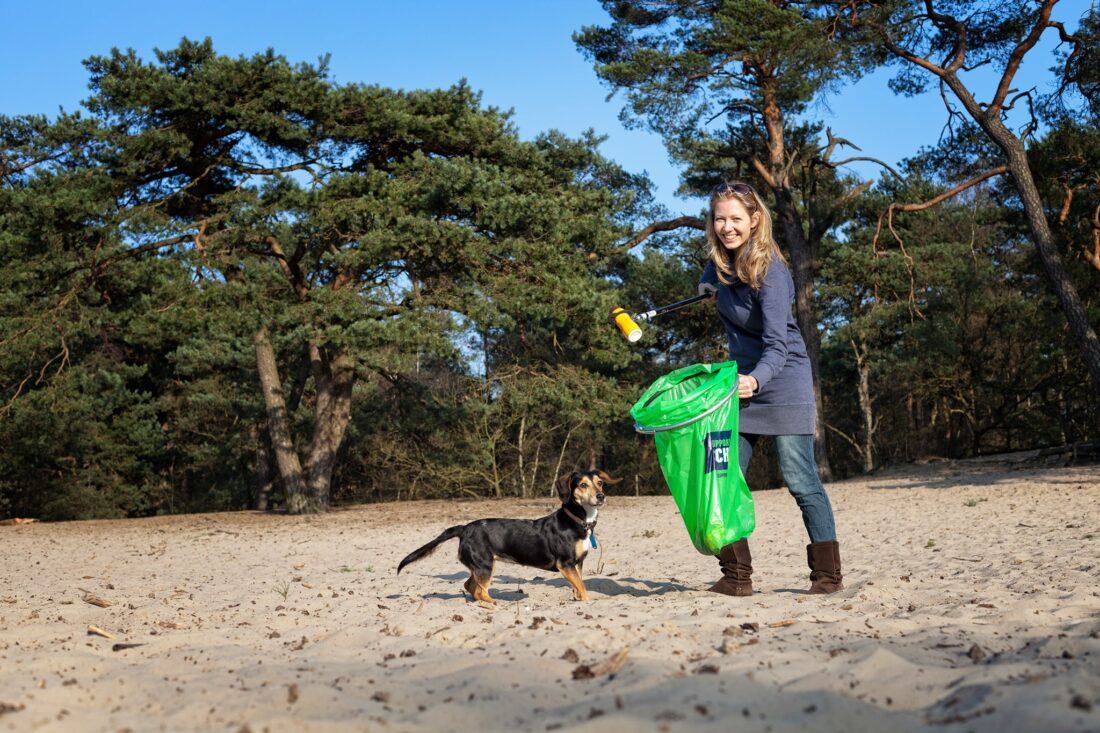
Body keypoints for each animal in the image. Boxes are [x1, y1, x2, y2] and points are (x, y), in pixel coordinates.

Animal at [396, 471, 620, 603]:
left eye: (600, 482)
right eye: (582, 485)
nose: (601, 496)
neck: (577, 519)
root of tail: (464, 528)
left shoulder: (577, 564)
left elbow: (578, 588)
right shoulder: (565, 564)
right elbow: (582, 588)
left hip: (480, 566)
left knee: (470, 586)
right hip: (485, 566)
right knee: (479, 590)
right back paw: (493, 605)